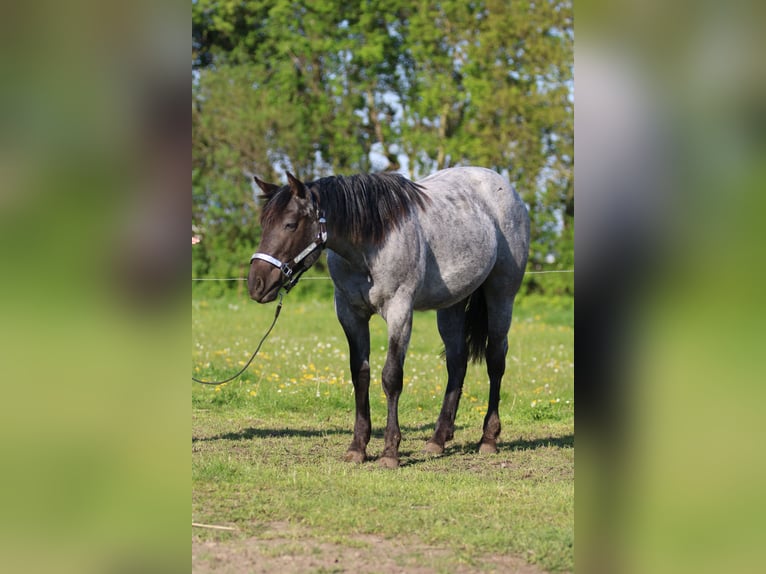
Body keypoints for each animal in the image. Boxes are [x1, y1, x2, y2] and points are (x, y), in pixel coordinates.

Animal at [249, 165, 532, 468]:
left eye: (290, 224)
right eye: (263, 223)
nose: (256, 284)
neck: (370, 244)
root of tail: (501, 184)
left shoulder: (399, 311)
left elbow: (391, 377)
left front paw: (389, 452)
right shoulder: (350, 314)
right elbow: (360, 374)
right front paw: (357, 447)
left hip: (501, 296)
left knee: (495, 361)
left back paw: (488, 438)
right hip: (451, 305)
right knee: (457, 363)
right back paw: (438, 440)